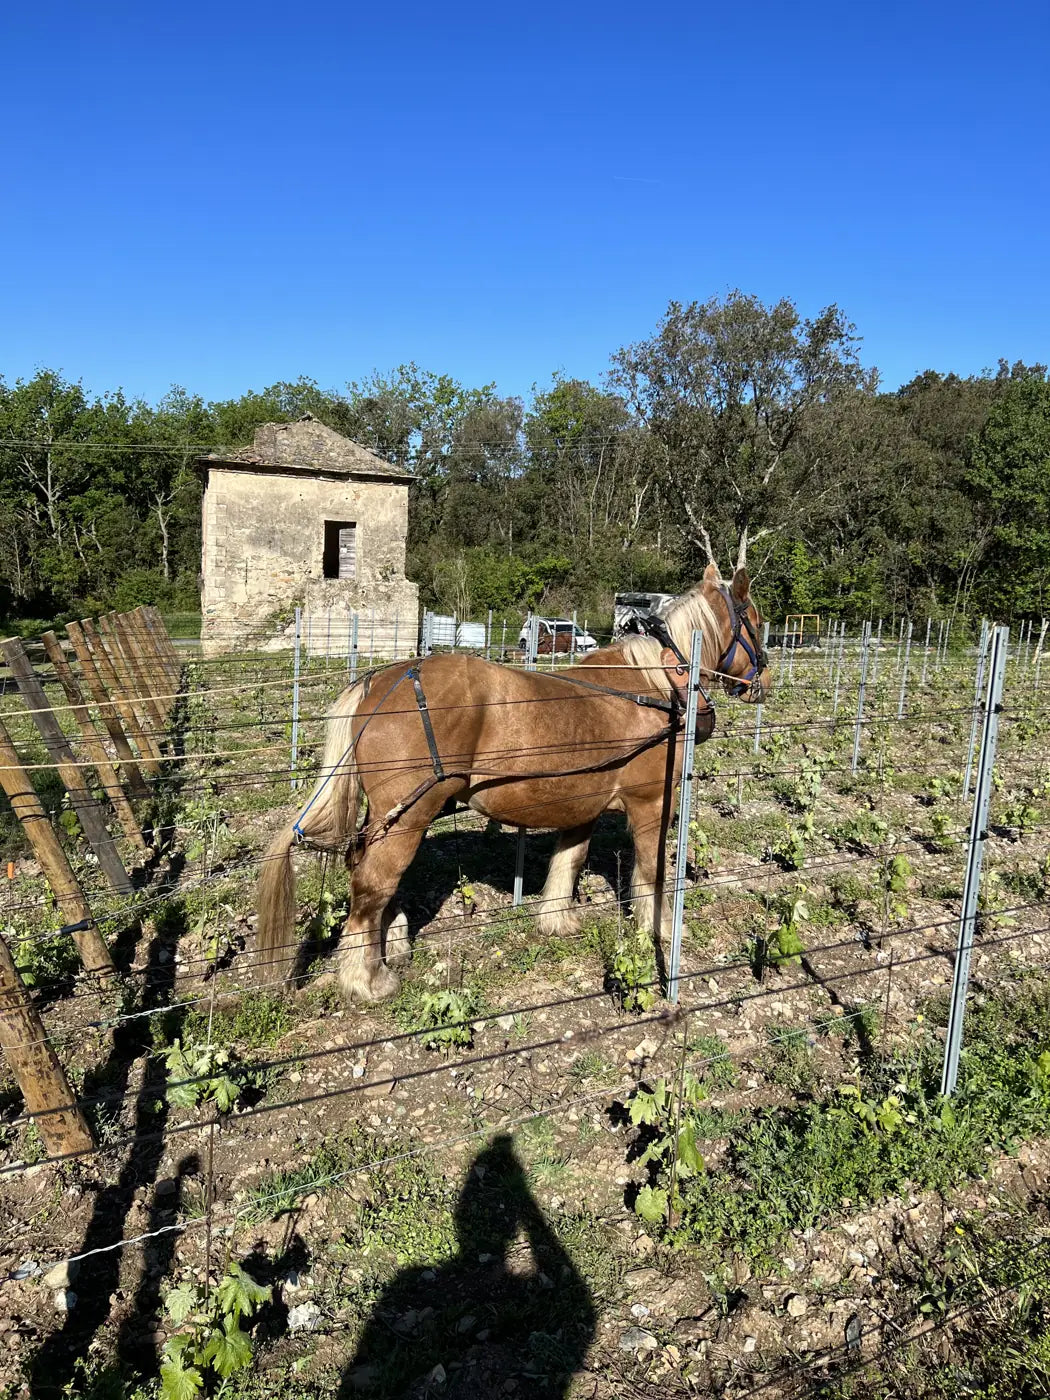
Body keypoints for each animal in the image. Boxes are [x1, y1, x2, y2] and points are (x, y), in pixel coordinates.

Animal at [257, 561, 770, 1003]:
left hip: (390, 817)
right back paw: (367, 978)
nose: (762, 678)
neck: (656, 685)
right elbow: (652, 872)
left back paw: (393, 945)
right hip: (409, 814)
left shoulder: (582, 803)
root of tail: (384, 679)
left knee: (372, 874)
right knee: (372, 885)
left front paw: (557, 920)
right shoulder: (651, 802)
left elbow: (569, 860)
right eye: (756, 622)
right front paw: (659, 929)